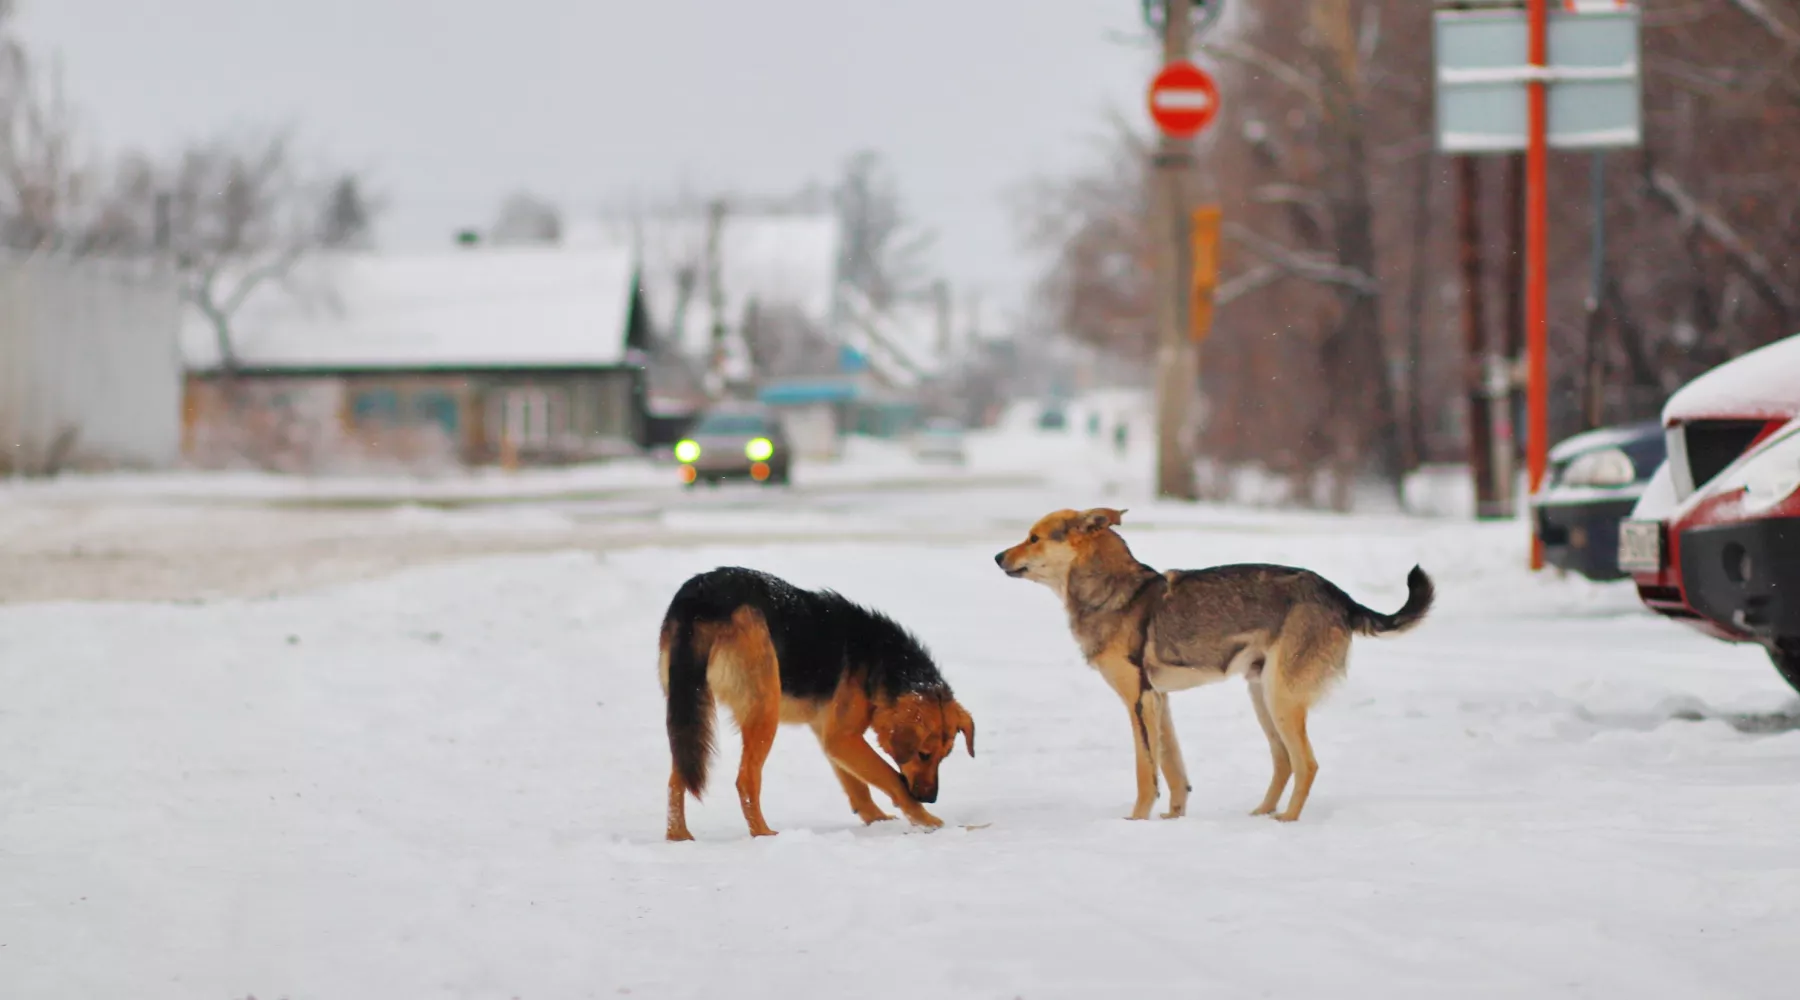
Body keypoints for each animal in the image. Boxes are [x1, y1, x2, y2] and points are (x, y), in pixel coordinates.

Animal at [658, 564, 972, 838]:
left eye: (945, 756)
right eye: (924, 754)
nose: (930, 798)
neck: (882, 662)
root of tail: (701, 598)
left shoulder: (831, 737)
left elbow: (858, 786)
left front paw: (877, 820)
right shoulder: (842, 737)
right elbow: (892, 778)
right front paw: (925, 819)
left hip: (688, 712)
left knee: (678, 776)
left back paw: (679, 837)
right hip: (764, 711)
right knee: (746, 780)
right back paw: (763, 834)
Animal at [1000, 510, 1432, 823]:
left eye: (1034, 538)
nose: (996, 556)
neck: (1114, 592)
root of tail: (1339, 595)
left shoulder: (1138, 702)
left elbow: (1146, 773)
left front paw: (1135, 822)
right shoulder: (1158, 701)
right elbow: (1173, 770)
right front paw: (1173, 818)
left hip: (1281, 698)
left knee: (1306, 763)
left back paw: (1287, 820)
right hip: (1263, 696)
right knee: (1283, 761)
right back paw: (1261, 813)